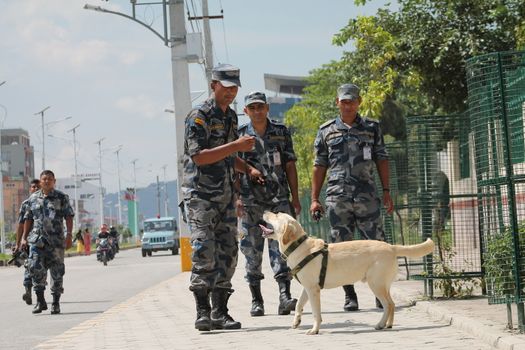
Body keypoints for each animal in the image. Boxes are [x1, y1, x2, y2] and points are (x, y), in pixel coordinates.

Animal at [258, 211, 434, 334]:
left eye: (276, 214)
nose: (264, 211)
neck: (298, 245)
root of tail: (391, 246)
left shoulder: (313, 290)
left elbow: (315, 313)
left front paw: (315, 330)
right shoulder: (307, 288)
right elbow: (299, 305)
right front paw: (296, 322)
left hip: (375, 284)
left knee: (388, 304)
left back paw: (380, 324)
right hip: (383, 284)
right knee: (391, 304)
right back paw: (388, 324)